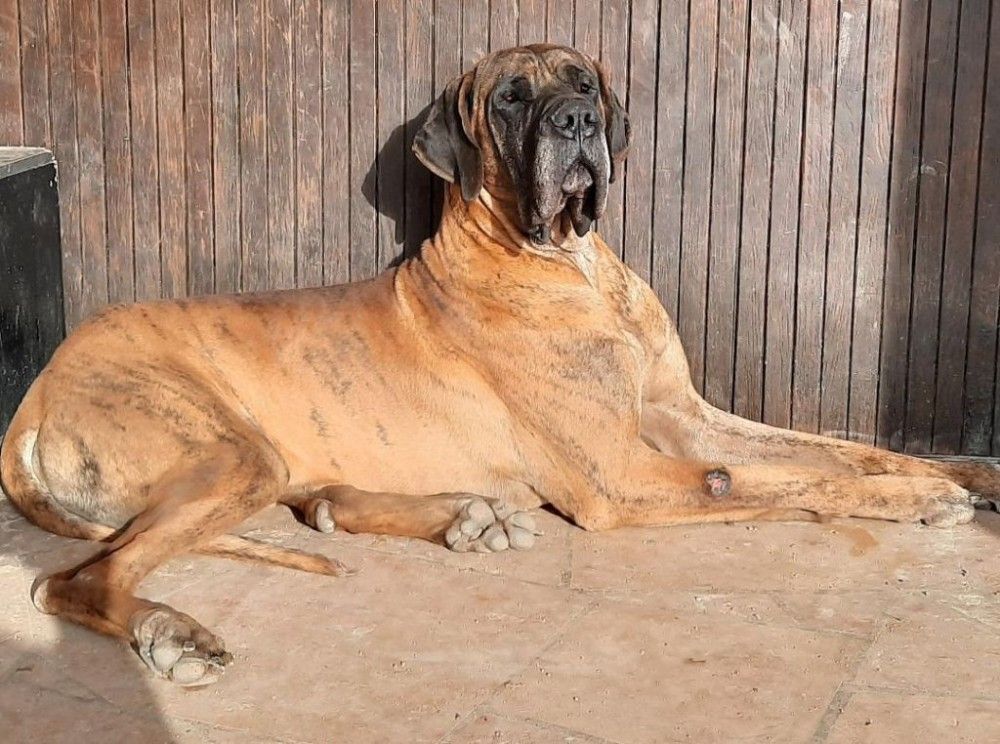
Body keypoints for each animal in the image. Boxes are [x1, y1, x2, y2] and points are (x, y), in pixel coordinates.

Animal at [2, 44, 997, 687]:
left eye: (586, 82)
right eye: (513, 98)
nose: (580, 121)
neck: (571, 262)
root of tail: (37, 392)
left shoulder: (683, 414)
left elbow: (833, 448)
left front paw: (959, 472)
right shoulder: (626, 473)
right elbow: (788, 480)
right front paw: (917, 500)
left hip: (263, 463)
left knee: (311, 504)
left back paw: (465, 518)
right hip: (227, 452)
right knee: (72, 579)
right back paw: (170, 632)